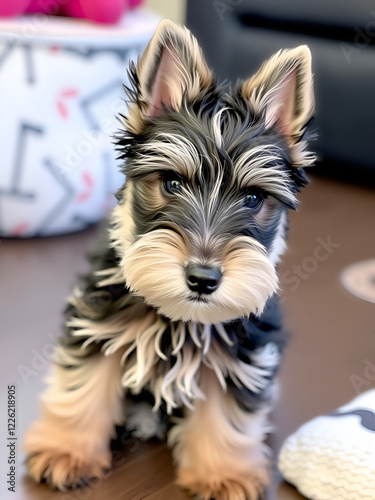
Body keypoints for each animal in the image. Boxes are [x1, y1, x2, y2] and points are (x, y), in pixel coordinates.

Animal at [25, 19, 316, 500]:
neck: (177, 317)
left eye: (254, 199)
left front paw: (223, 472)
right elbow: (87, 381)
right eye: (171, 184)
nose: (203, 277)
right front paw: (68, 450)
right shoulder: (100, 319)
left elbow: (225, 408)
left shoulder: (239, 350)